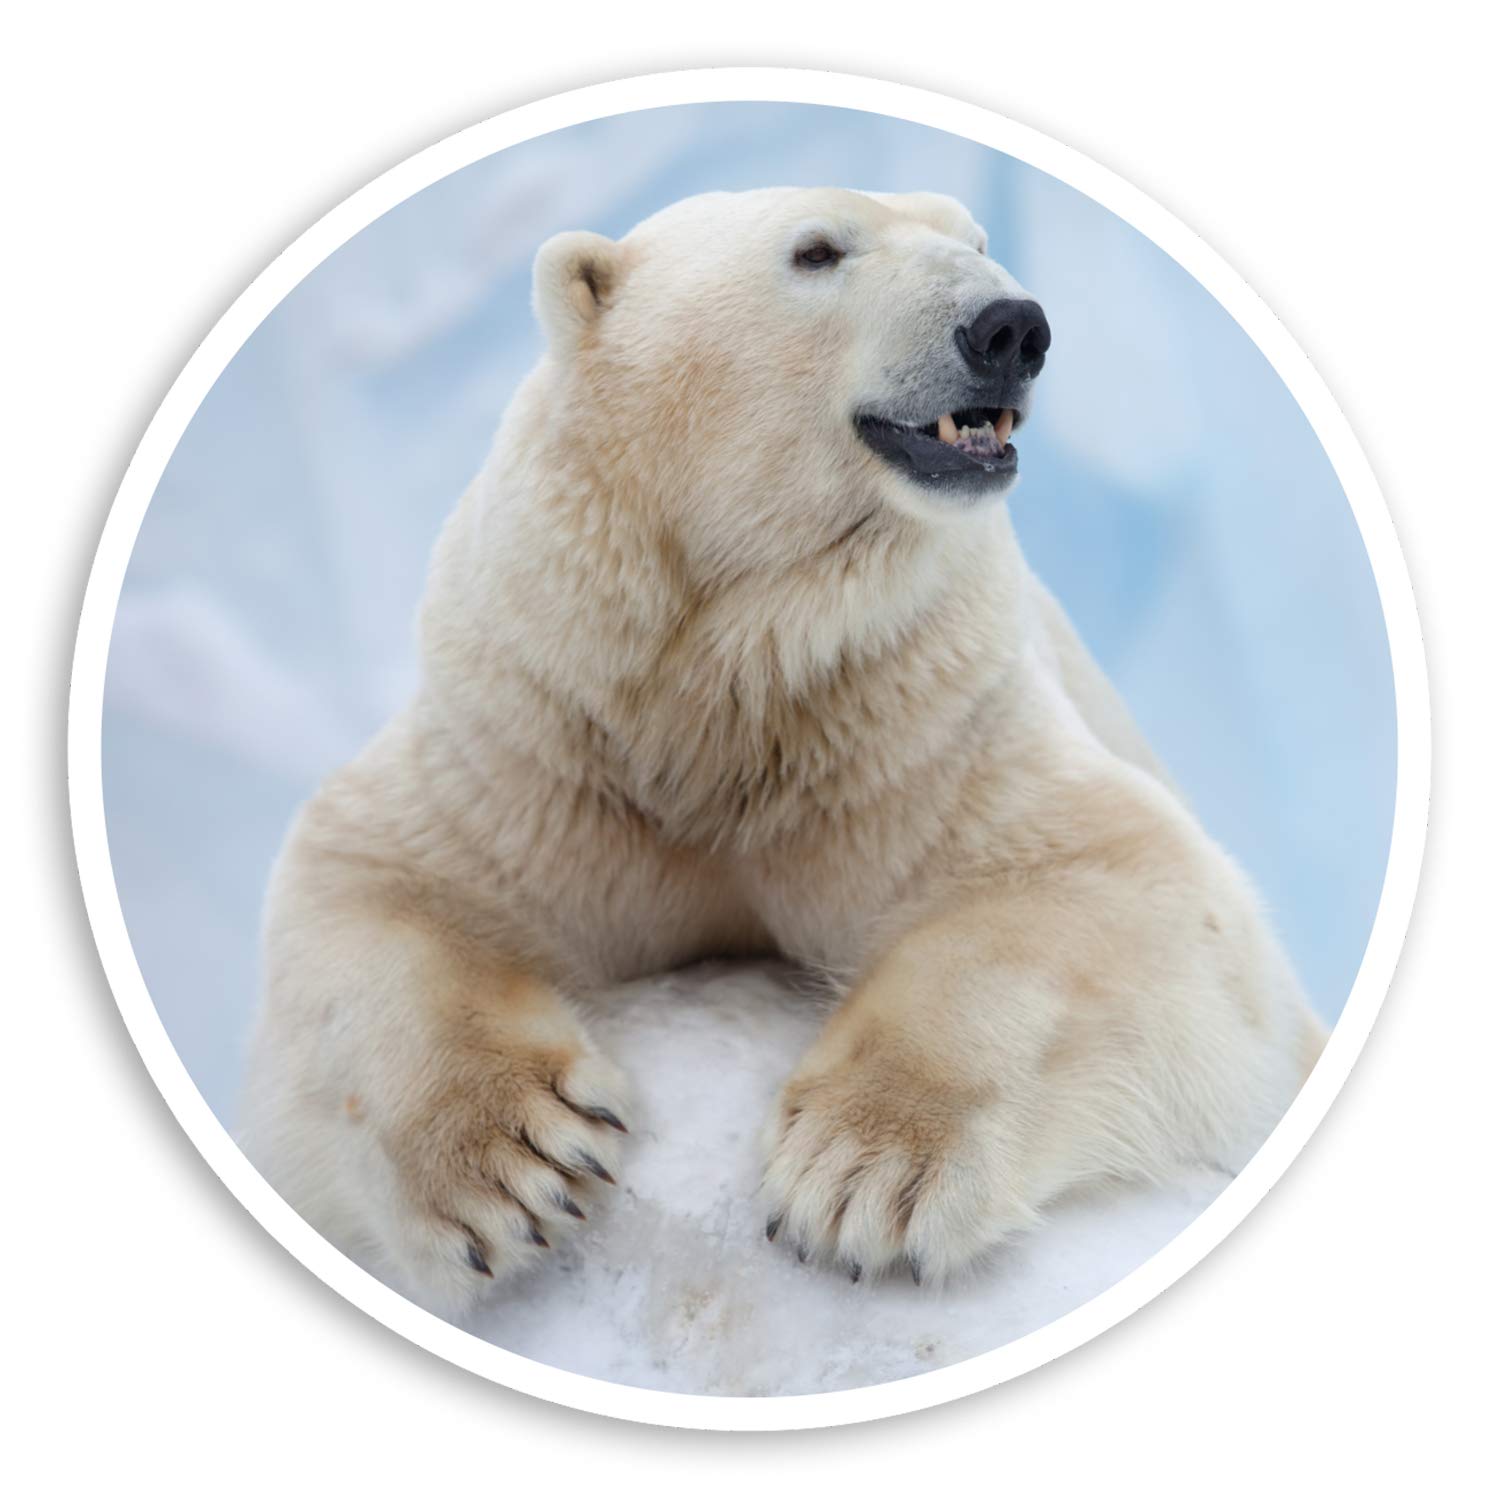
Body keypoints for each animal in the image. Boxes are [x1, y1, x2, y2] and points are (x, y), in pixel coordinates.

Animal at [240, 187, 1326, 1317]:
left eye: (975, 240)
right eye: (816, 251)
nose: (1009, 327)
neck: (738, 671)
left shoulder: (921, 726)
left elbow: (1115, 885)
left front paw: (862, 1175)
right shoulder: (535, 733)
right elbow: (369, 883)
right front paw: (511, 1168)